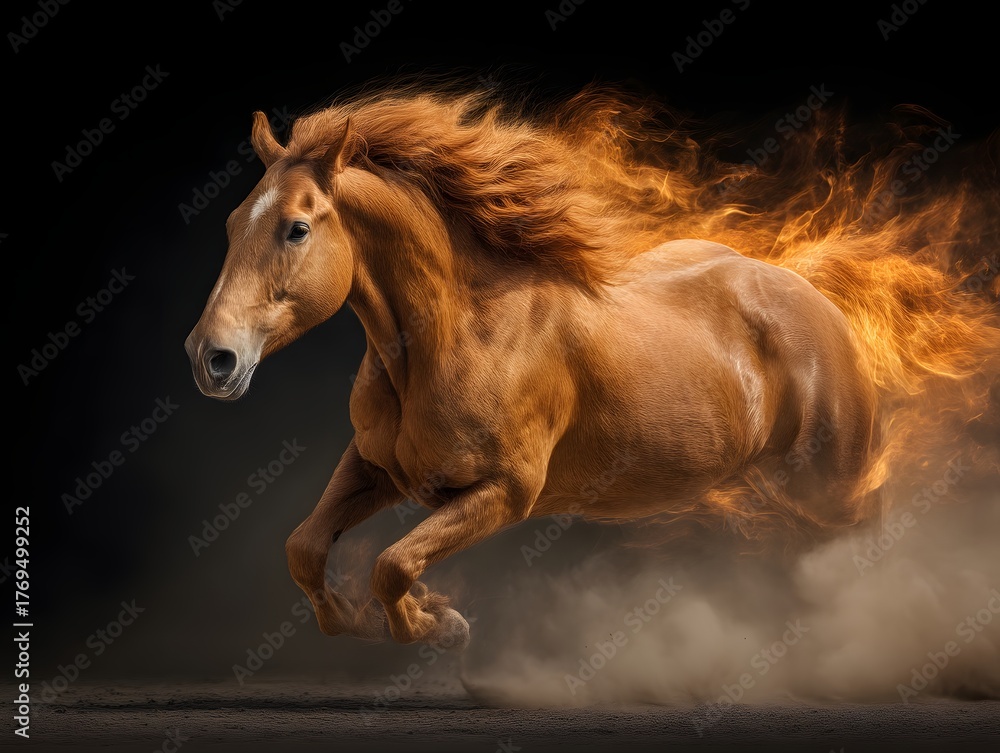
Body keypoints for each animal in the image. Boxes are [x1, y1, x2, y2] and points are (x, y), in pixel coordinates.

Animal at [184, 88, 880, 650]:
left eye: (297, 228)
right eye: (232, 222)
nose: (211, 358)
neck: (460, 335)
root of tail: (819, 301)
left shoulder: (505, 493)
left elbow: (393, 564)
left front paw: (441, 626)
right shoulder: (379, 467)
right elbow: (305, 550)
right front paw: (373, 618)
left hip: (831, 487)